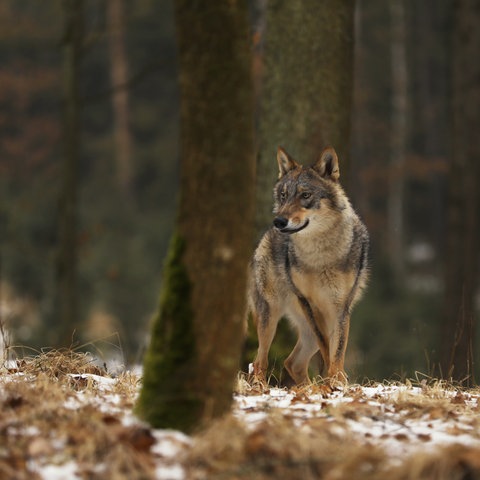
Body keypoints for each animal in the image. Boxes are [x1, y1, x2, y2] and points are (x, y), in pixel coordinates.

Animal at [248, 147, 368, 386]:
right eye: (284, 195)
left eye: (305, 195)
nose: (279, 221)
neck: (320, 255)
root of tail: (265, 236)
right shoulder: (308, 303)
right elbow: (327, 348)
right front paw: (333, 381)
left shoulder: (340, 307)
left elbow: (337, 350)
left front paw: (337, 381)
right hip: (271, 316)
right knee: (260, 361)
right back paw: (262, 386)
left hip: (306, 328)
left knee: (292, 363)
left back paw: (306, 388)